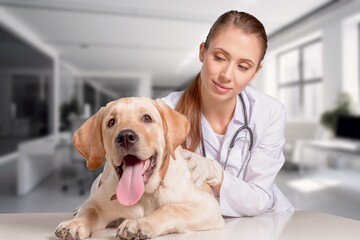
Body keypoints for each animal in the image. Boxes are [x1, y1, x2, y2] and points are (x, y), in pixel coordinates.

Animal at [54, 97, 224, 240]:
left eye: (147, 118)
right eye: (111, 122)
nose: (125, 137)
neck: (145, 195)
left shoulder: (207, 206)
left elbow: (171, 208)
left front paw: (140, 223)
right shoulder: (98, 203)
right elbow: (90, 210)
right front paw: (75, 223)